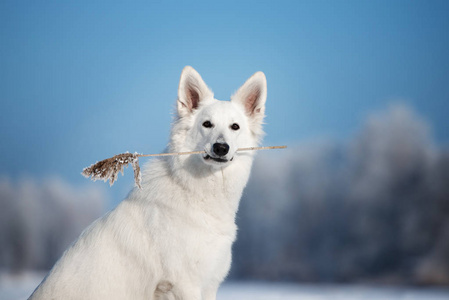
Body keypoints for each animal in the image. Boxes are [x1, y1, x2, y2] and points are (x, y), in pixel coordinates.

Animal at [29, 67, 266, 298]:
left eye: (235, 127)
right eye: (207, 124)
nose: (221, 147)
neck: (193, 189)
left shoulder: (208, 285)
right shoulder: (185, 285)